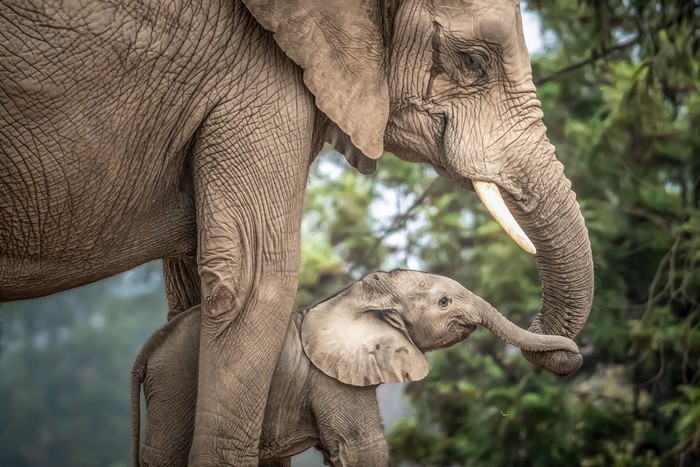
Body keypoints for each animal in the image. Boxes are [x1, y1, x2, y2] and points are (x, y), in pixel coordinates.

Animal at [131, 270, 579, 466]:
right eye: (444, 302)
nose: (573, 355)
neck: (352, 295)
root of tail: (148, 349)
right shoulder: (330, 378)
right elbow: (364, 448)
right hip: (176, 382)